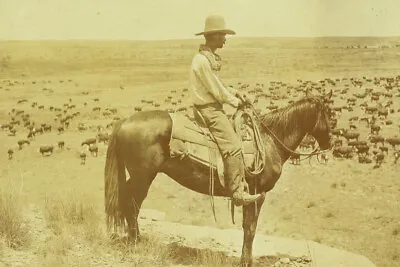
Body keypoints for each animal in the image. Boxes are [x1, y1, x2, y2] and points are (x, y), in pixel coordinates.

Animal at [103, 93, 332, 266]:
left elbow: (247, 227)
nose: (329, 143)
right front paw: (246, 261)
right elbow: (251, 228)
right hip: (143, 177)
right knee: (132, 204)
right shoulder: (258, 194)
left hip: (139, 176)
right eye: (329, 115)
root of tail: (124, 122)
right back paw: (136, 242)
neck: (269, 142)